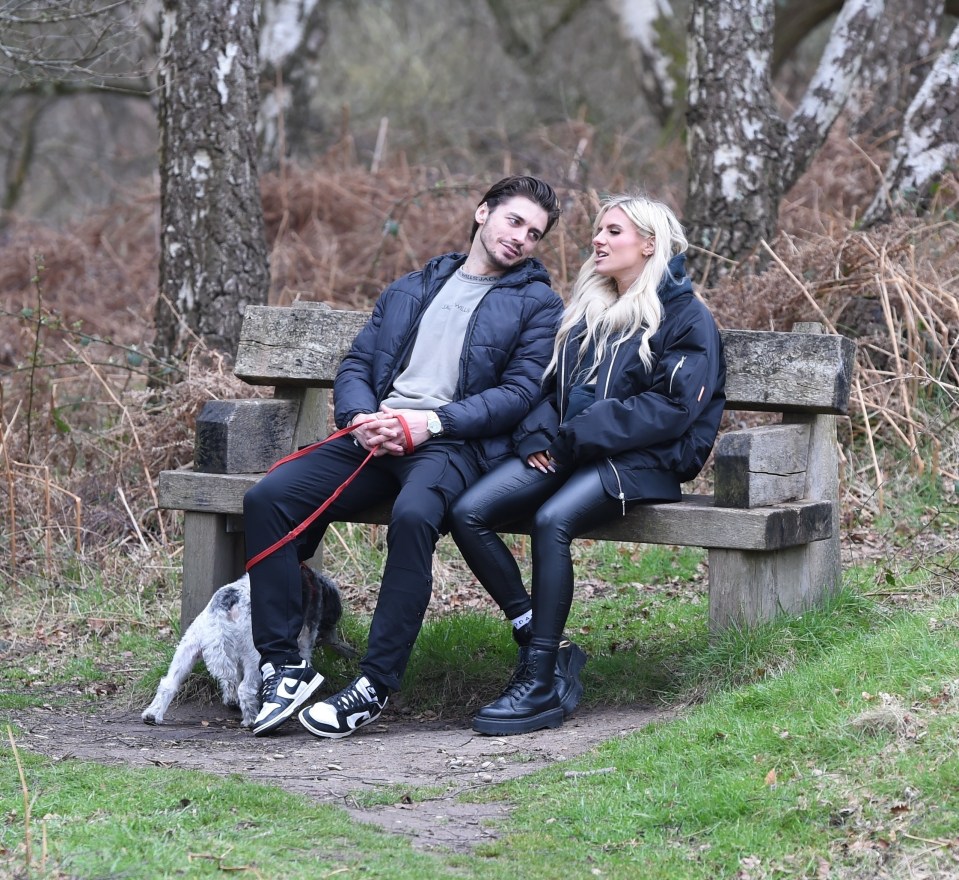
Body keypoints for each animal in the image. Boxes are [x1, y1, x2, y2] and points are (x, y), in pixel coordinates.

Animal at [141, 564, 354, 728]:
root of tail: (223, 609)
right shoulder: (304, 640)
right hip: (255, 656)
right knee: (245, 688)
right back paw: (252, 719)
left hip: (188, 649)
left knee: (168, 684)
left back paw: (152, 714)